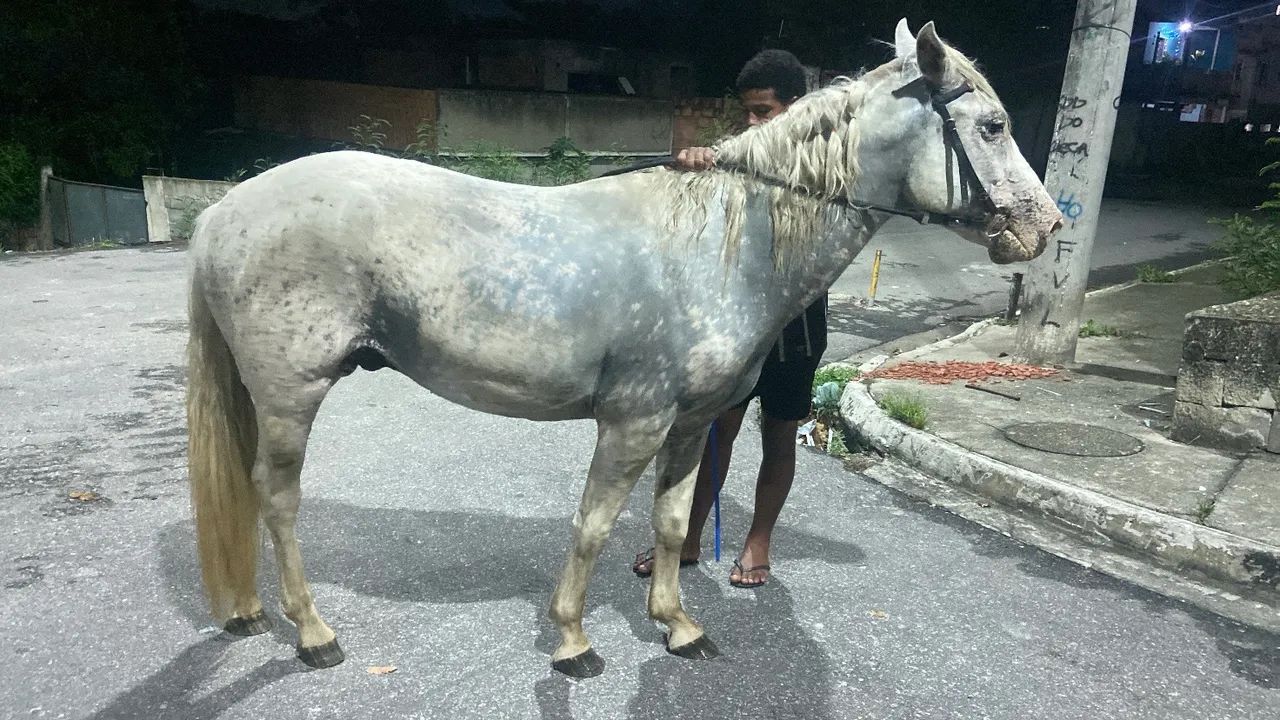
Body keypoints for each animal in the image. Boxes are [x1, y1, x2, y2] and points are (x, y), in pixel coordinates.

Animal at [186, 19, 1062, 678]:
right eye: (993, 126)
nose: (1045, 227)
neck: (725, 243)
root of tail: (224, 211)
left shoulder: (689, 425)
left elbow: (671, 523)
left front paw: (678, 626)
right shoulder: (632, 423)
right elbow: (593, 525)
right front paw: (573, 640)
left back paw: (254, 610)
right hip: (291, 396)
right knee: (276, 499)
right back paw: (312, 632)